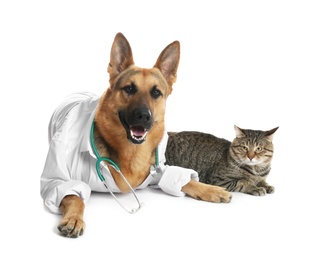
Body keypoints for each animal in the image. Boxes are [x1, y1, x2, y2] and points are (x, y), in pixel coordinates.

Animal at [46, 32, 231, 238]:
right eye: (129, 89)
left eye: (156, 92)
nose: (143, 116)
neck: (131, 152)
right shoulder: (56, 181)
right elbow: (73, 195)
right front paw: (74, 219)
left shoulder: (158, 169)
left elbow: (184, 179)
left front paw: (209, 189)